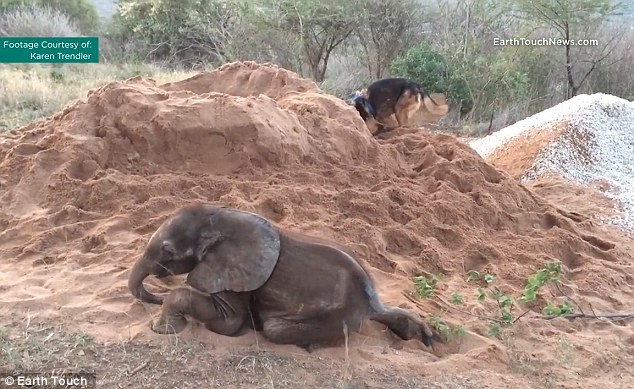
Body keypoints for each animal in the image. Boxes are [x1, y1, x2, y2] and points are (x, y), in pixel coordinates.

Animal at [128, 203, 434, 348]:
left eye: (167, 251)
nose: (154, 295)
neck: (220, 218)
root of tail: (371, 303)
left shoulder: (239, 275)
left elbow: (228, 323)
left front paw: (162, 330)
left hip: (340, 314)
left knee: (275, 329)